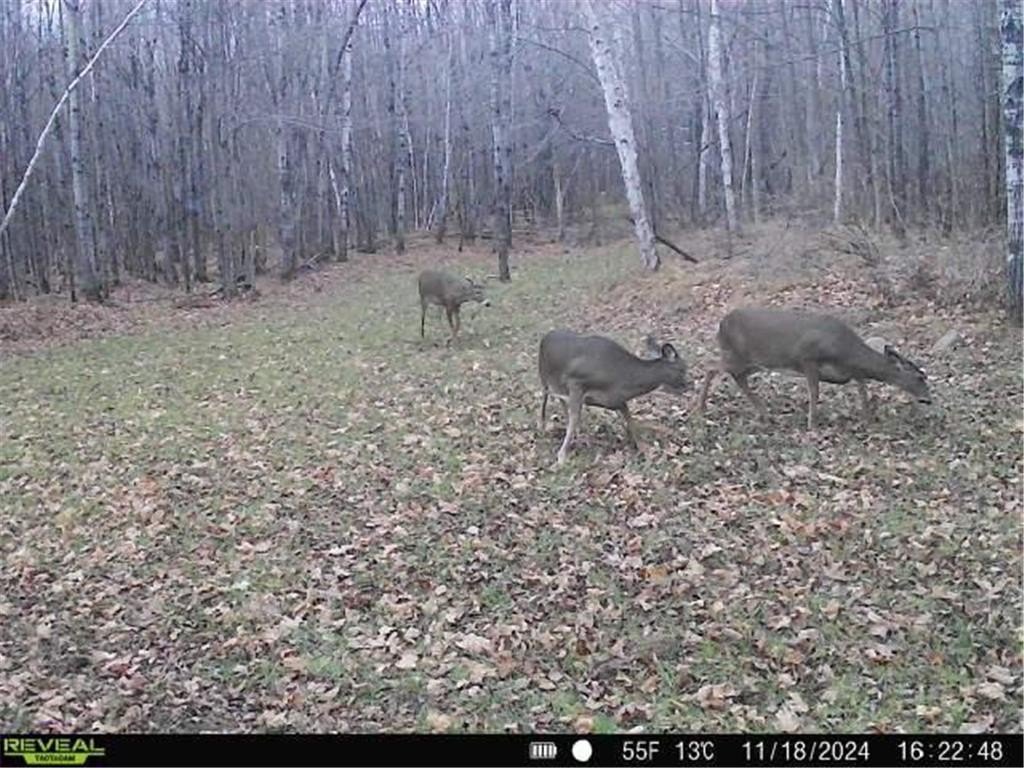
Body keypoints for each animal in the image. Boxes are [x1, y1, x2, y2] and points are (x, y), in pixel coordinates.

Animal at [538, 330, 690, 465]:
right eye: (682, 369)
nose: (688, 385)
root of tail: (545, 337)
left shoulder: (617, 400)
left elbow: (630, 421)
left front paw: (645, 449)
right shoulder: (575, 381)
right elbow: (574, 418)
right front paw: (562, 456)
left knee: (561, 400)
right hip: (544, 376)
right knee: (545, 399)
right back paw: (542, 426)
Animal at [697, 307, 932, 429]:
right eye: (920, 377)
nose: (928, 400)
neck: (846, 352)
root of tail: (721, 324)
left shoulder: (850, 372)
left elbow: (863, 390)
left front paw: (867, 419)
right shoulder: (807, 359)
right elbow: (814, 392)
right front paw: (812, 424)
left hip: (754, 361)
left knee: (737, 377)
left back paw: (764, 413)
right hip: (736, 354)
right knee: (711, 367)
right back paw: (701, 408)